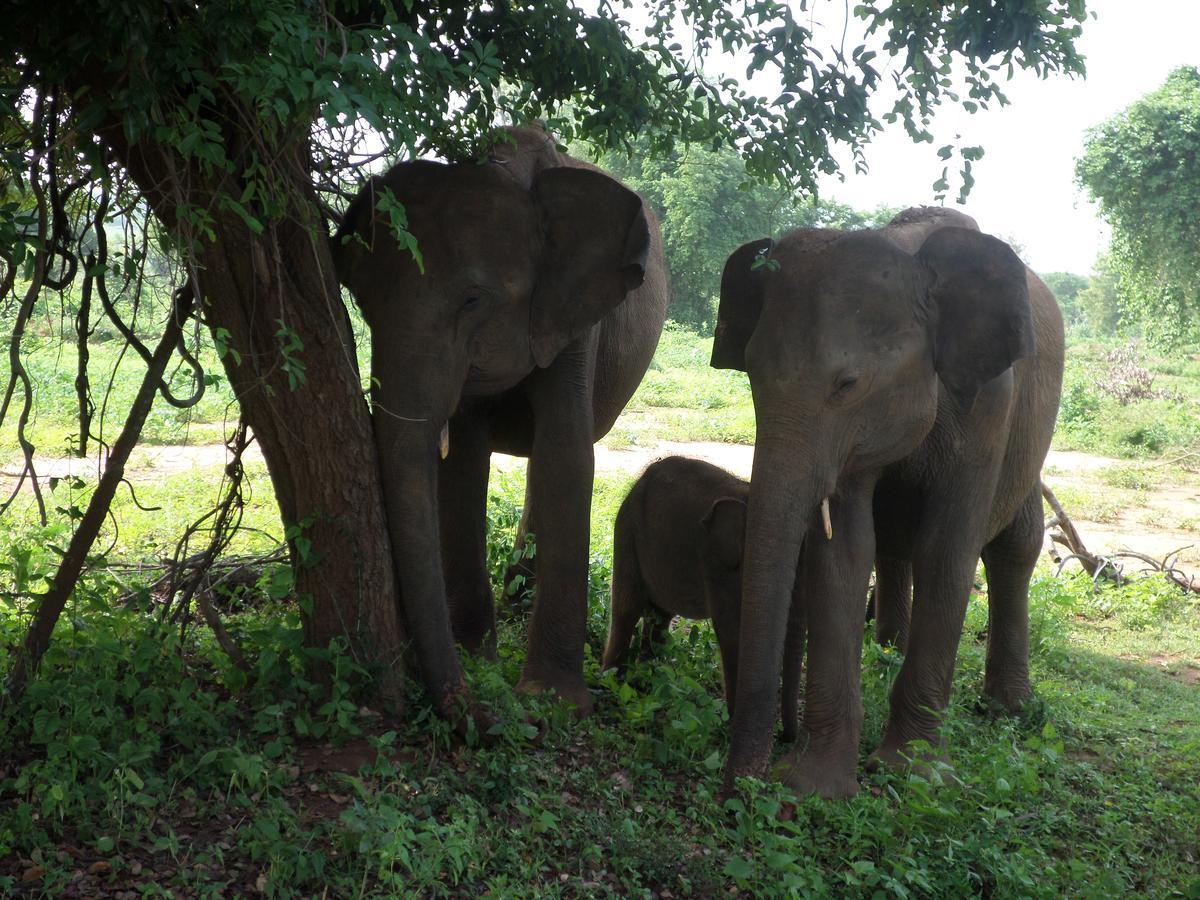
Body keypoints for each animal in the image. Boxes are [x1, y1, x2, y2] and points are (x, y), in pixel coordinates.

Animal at [333, 123, 672, 724]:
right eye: (361, 301)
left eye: (474, 300)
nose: (479, 712)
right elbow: (463, 464)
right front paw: (479, 659)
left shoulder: (575, 315)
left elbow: (567, 454)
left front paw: (551, 700)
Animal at [600, 458, 806, 748]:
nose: (784, 739)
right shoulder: (718, 564)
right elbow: (733, 633)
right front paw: (733, 728)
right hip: (627, 531)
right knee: (627, 609)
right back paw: (612, 680)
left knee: (660, 615)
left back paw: (650, 679)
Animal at [705, 207, 1065, 801]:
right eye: (750, 373)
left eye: (848, 383)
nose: (744, 787)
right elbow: (846, 550)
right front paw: (815, 786)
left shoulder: (989, 406)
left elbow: (948, 550)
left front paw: (913, 774)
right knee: (893, 549)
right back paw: (887, 651)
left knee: (1016, 544)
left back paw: (1009, 709)